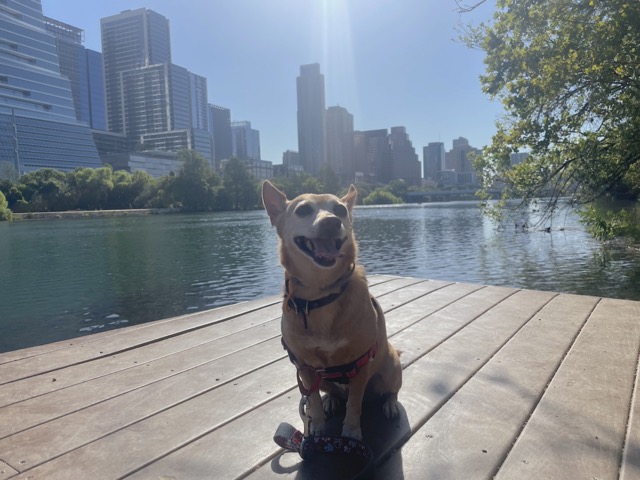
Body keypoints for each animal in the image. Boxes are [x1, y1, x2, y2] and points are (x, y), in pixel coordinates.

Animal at [260, 181, 400, 442]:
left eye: (341, 210)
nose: (332, 221)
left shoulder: (360, 367)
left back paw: (390, 404)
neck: (320, 294)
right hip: (323, 380)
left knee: (390, 391)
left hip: (390, 367)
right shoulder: (305, 367)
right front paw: (317, 427)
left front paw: (351, 433)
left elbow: (354, 404)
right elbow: (312, 400)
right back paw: (332, 401)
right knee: (329, 394)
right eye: (303, 210)